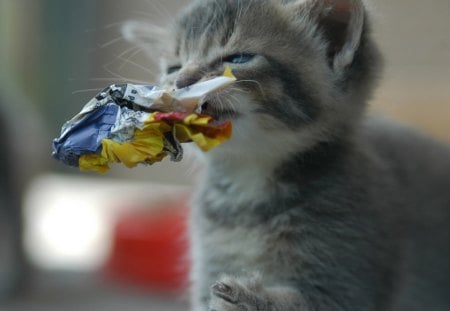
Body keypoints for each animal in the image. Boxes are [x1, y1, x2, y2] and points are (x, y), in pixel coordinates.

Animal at [125, 0, 450, 310]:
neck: (248, 186)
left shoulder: (350, 274)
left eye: (238, 59)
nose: (181, 81)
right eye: (173, 68)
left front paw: (249, 298)